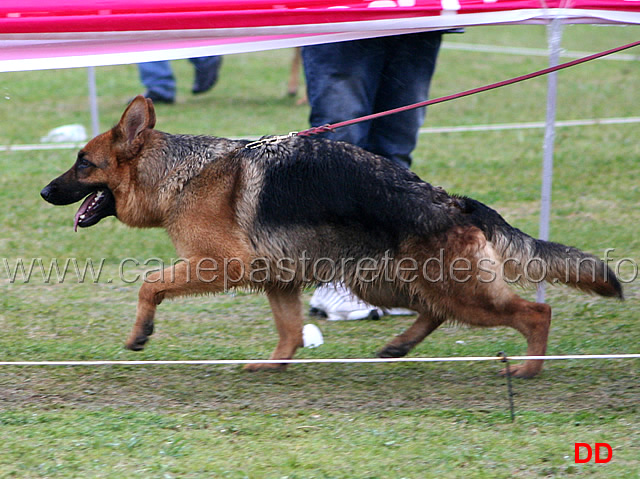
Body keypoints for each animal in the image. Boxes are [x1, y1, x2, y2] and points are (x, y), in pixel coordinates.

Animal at [40, 96, 620, 378]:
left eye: (83, 163)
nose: (44, 191)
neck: (178, 172)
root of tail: (451, 200)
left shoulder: (219, 265)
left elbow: (149, 284)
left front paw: (141, 332)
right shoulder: (276, 280)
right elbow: (290, 333)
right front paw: (273, 366)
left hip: (457, 290)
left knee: (536, 312)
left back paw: (530, 368)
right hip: (384, 282)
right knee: (435, 312)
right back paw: (399, 345)